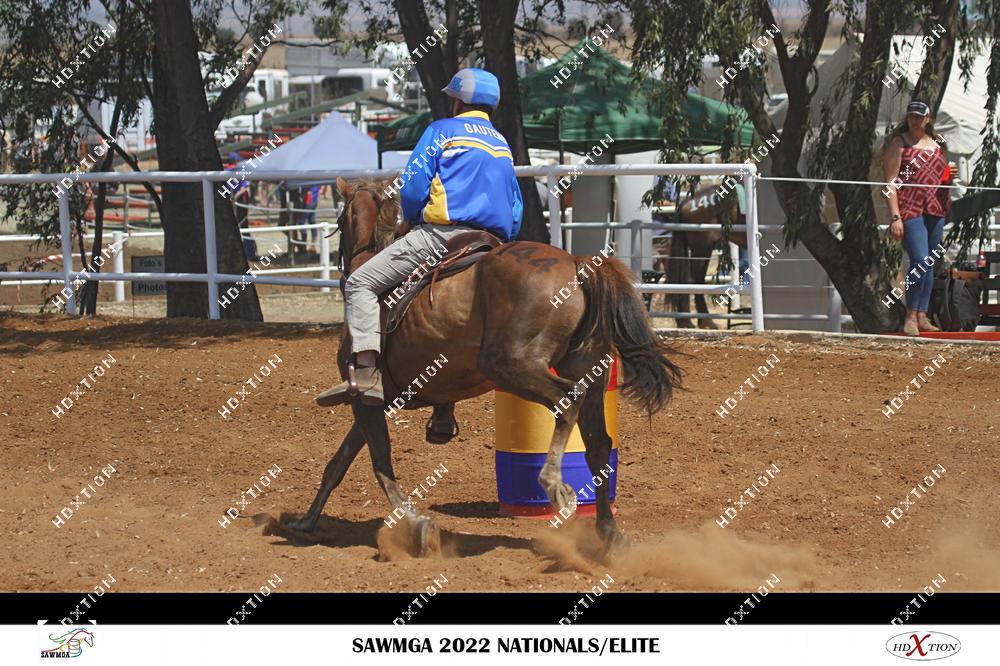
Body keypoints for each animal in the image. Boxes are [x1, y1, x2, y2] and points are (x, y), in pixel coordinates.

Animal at [285, 177, 682, 557]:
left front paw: (417, 527)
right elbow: (338, 464)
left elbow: (380, 464)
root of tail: (575, 265)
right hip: (593, 373)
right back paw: (609, 535)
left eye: (340, 220)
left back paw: (554, 484)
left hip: (514, 367)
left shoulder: (364, 399)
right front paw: (306, 522)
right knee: (599, 444)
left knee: (567, 402)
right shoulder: (372, 402)